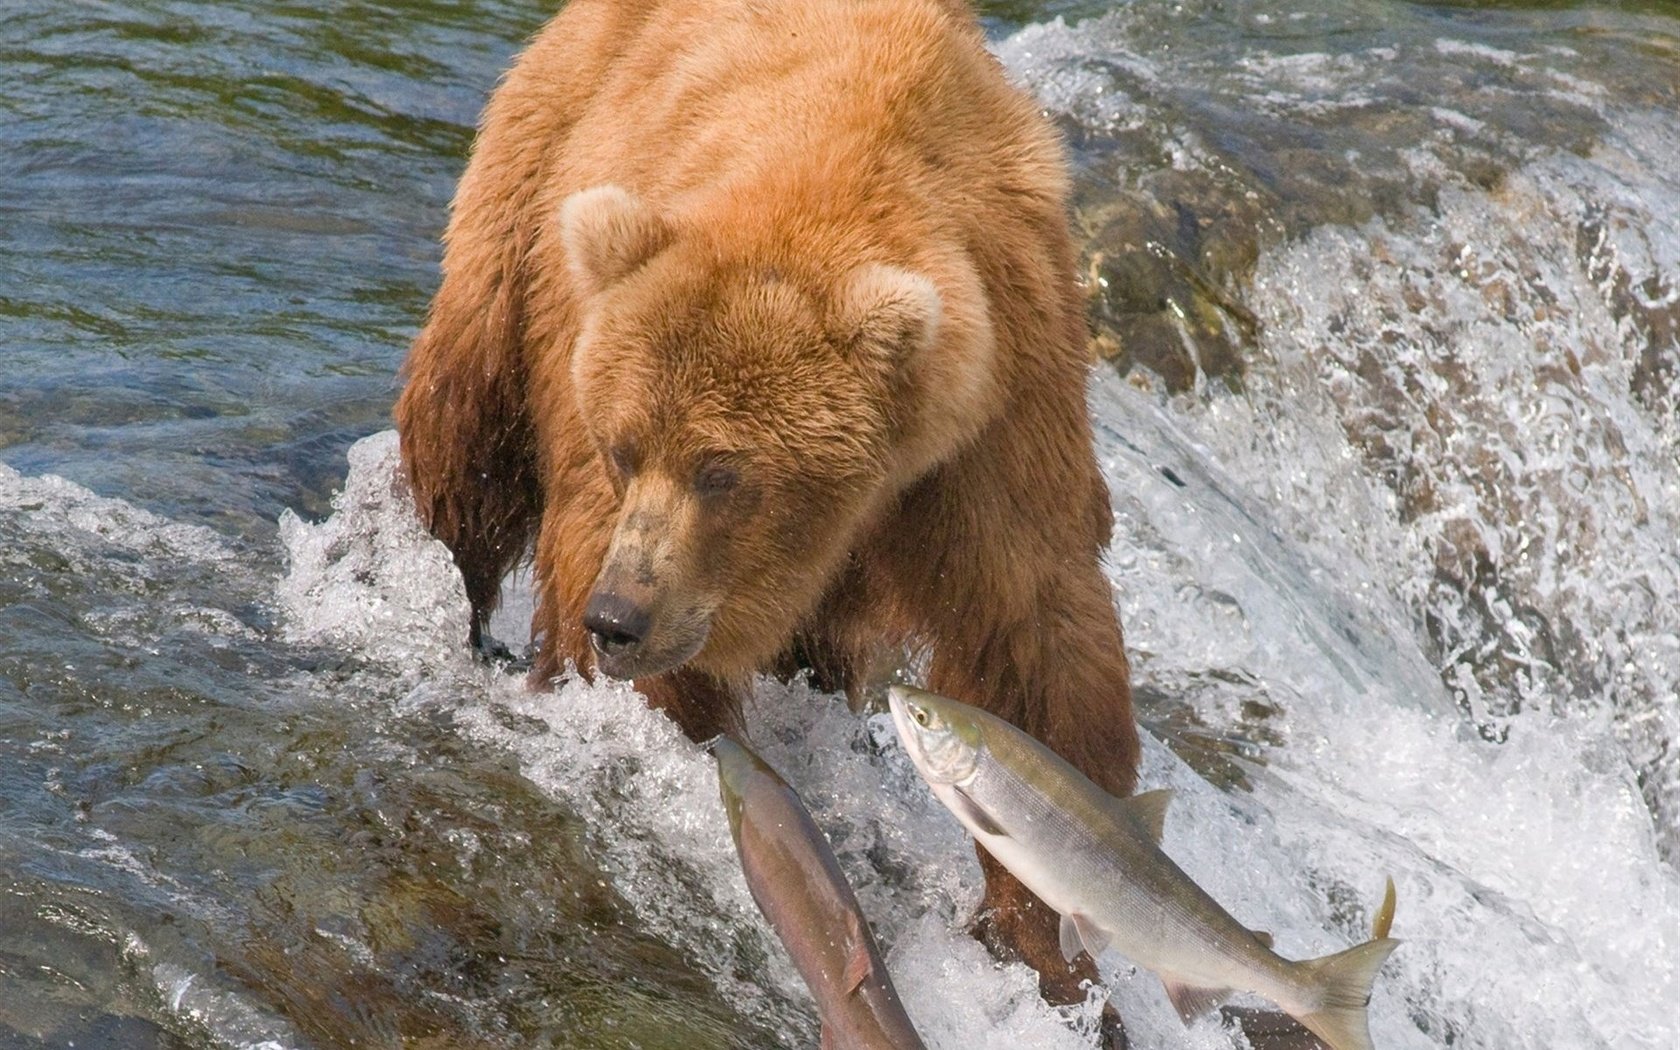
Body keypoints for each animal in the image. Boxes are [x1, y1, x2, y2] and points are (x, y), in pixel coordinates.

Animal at [396, 0, 1142, 1021]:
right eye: (625, 447)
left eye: (723, 472)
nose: (619, 618)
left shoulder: (996, 419)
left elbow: (1031, 646)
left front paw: (1049, 942)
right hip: (529, 189)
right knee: (464, 429)